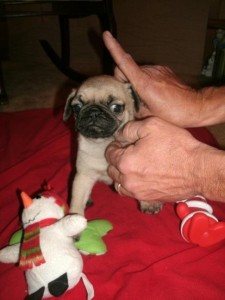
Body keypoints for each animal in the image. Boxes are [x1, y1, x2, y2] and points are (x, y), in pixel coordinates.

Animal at [64, 75, 163, 216]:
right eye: (77, 107)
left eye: (116, 108)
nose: (93, 112)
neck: (103, 143)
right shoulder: (84, 175)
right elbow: (77, 199)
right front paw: (74, 217)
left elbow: (145, 186)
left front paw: (149, 203)